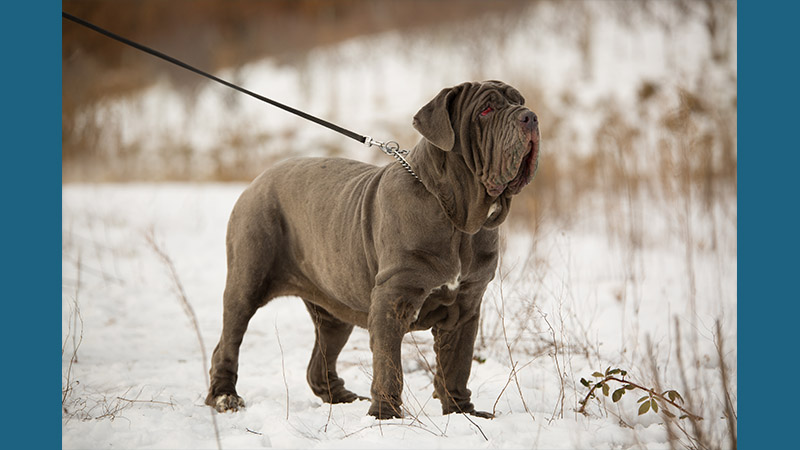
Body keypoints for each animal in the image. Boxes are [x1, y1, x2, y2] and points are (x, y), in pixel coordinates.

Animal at [206, 80, 540, 418]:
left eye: (520, 101)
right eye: (486, 110)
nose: (530, 116)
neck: (458, 219)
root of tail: (257, 180)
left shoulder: (466, 305)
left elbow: (456, 365)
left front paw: (462, 412)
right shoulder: (392, 298)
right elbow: (389, 363)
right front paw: (386, 415)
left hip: (334, 310)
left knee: (319, 362)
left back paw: (343, 398)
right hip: (246, 283)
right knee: (227, 343)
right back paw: (224, 396)